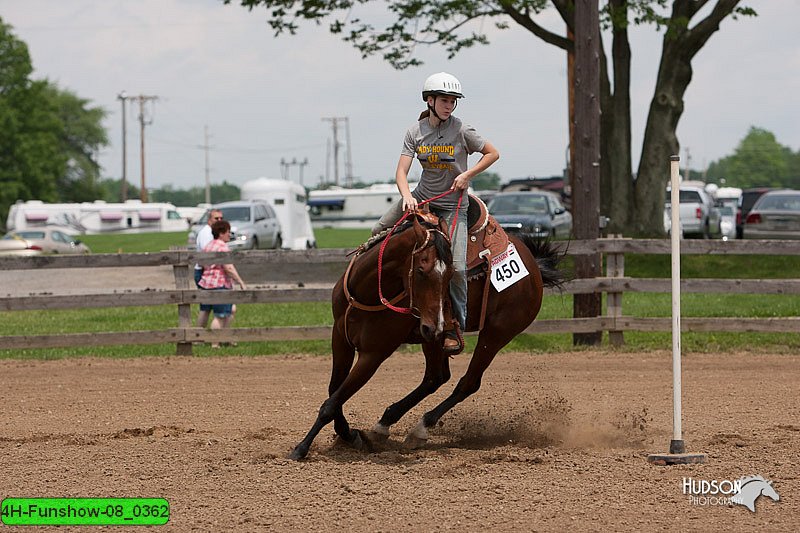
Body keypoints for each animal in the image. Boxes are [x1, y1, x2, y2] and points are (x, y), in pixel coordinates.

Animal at [290, 210, 564, 460]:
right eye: (421, 271)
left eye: (451, 273)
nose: (439, 326)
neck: (368, 290)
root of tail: (534, 265)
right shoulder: (340, 339)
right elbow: (334, 391)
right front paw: (349, 435)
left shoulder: (374, 354)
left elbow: (333, 401)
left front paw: (302, 448)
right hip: (432, 338)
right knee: (436, 377)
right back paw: (384, 425)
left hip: (496, 333)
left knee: (468, 382)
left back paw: (420, 428)